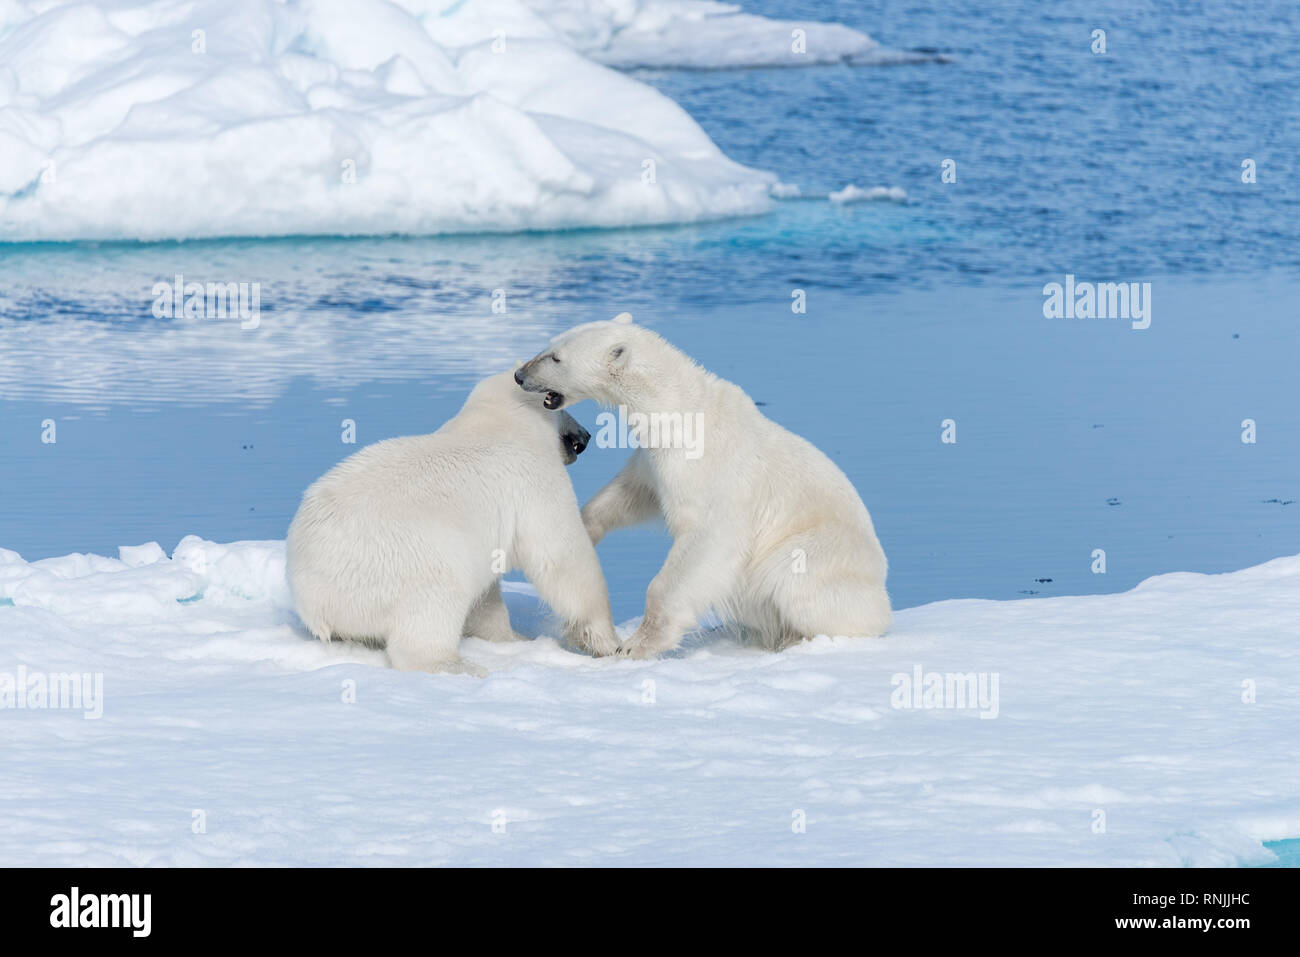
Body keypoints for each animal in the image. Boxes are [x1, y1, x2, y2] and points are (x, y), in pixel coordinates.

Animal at [286, 369, 621, 674]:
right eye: (560, 403)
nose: (585, 437)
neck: (503, 420)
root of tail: (312, 595)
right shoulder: (535, 480)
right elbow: (561, 557)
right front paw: (608, 642)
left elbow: (487, 595)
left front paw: (510, 638)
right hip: (402, 562)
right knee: (433, 608)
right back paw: (459, 666)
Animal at [514, 313, 891, 658]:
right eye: (548, 346)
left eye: (555, 357)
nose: (520, 376)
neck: (678, 411)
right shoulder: (656, 459)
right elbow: (634, 493)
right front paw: (585, 529)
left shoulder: (711, 476)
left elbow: (704, 543)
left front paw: (636, 645)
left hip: (824, 555)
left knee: (794, 578)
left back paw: (797, 639)